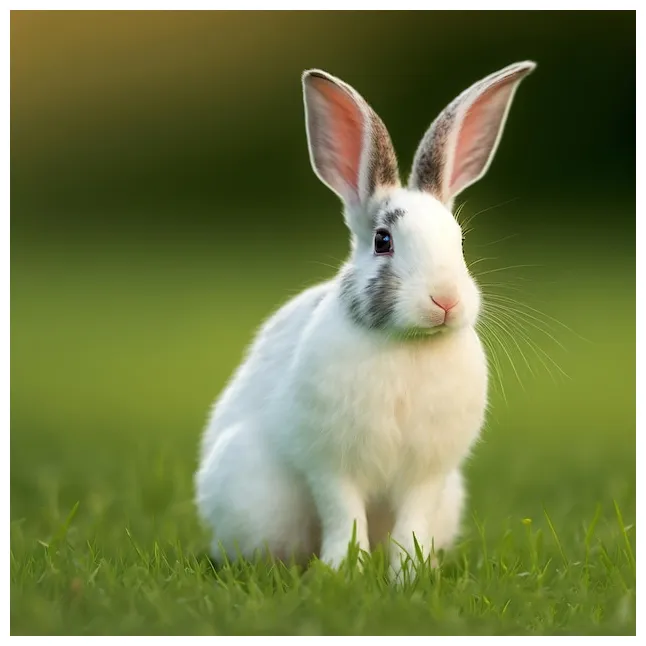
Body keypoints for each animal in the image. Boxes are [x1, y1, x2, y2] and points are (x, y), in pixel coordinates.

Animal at [195, 61, 536, 571]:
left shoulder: (427, 475)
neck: (408, 343)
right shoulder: (330, 465)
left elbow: (411, 521)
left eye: (458, 241)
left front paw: (409, 574)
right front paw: (341, 571)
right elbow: (343, 514)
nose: (445, 300)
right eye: (383, 241)